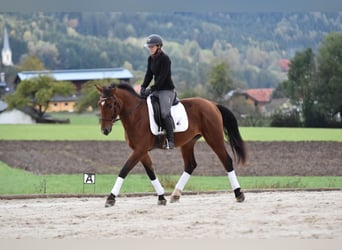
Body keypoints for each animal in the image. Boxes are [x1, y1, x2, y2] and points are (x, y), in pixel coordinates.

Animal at [95, 83, 247, 207]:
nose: (104, 130)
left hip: (214, 138)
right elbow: (150, 172)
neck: (136, 115)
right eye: (99, 104)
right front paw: (161, 197)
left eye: (110, 105)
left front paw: (110, 198)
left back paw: (239, 194)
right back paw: (175, 195)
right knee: (190, 165)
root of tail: (212, 104)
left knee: (226, 160)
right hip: (188, 143)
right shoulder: (140, 150)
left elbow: (124, 170)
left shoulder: (140, 149)